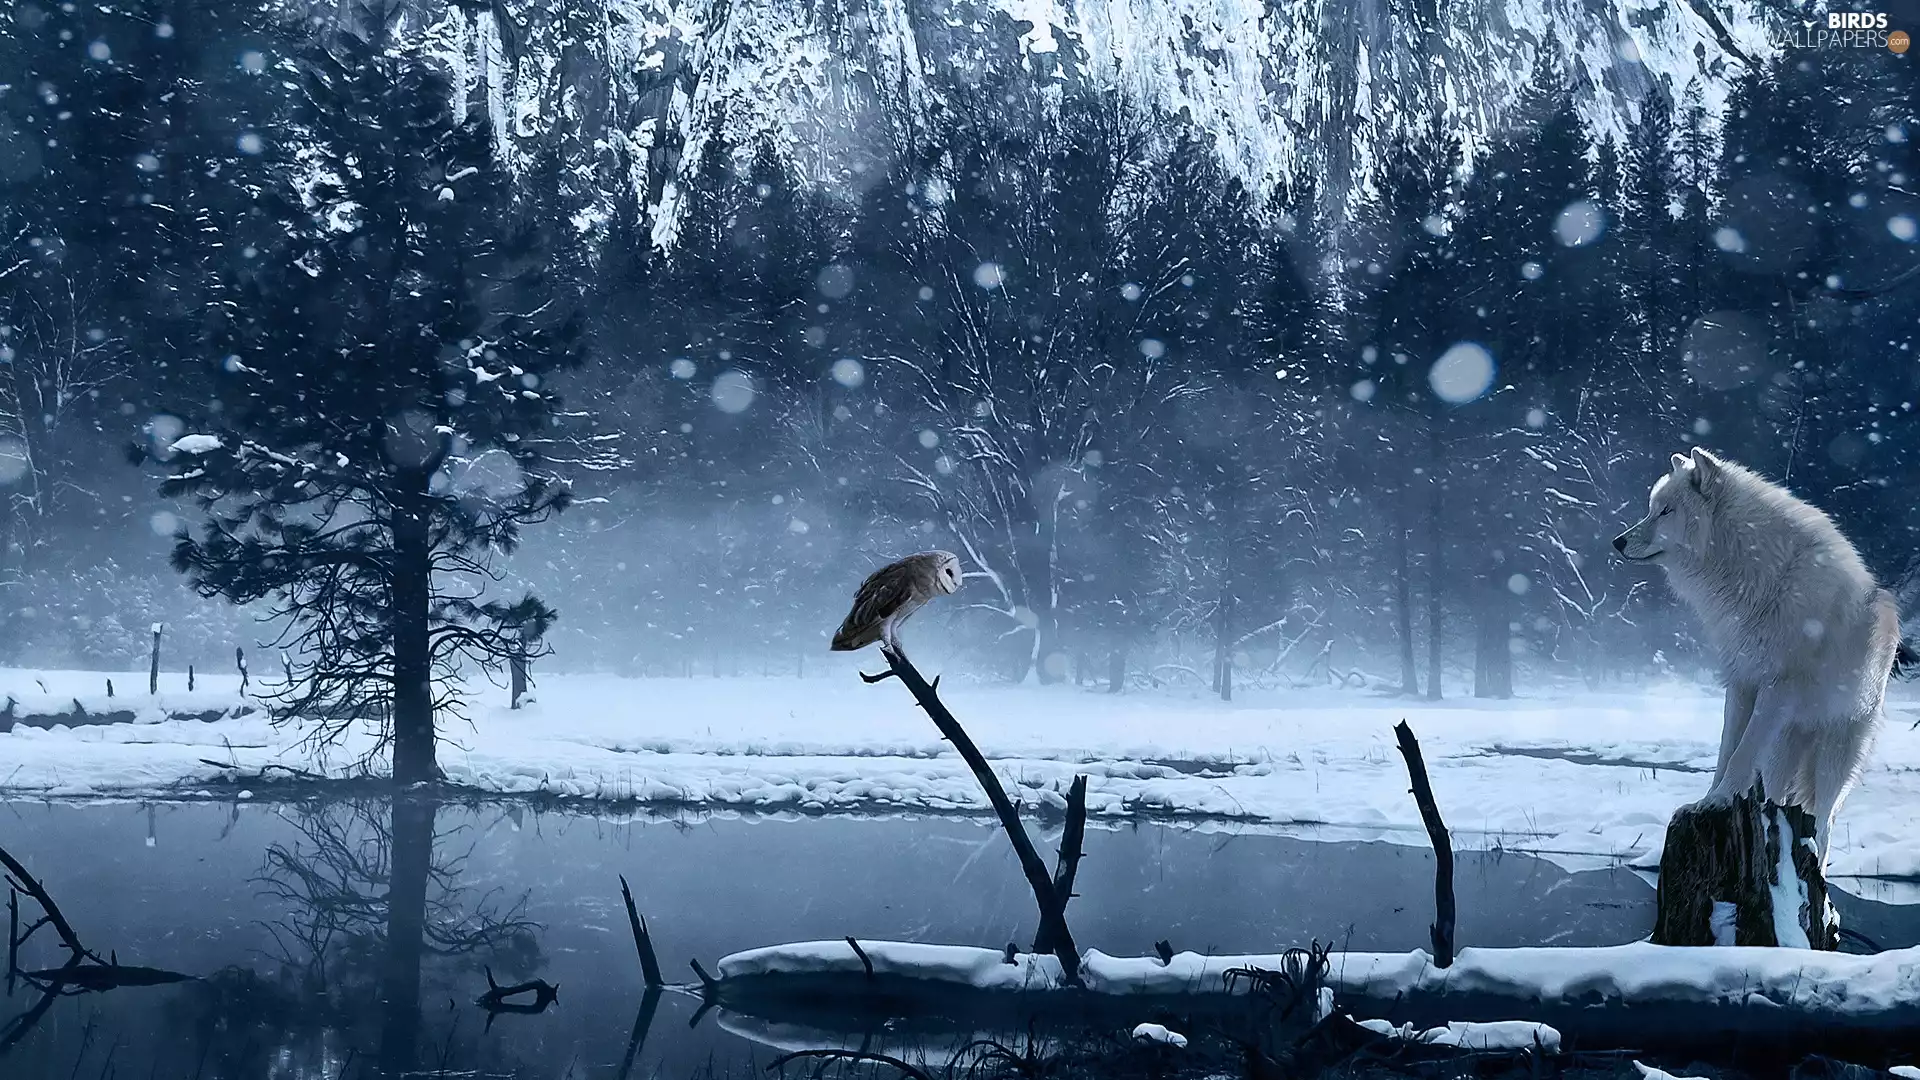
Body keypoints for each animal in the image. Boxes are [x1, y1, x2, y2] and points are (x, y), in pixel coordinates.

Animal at [1613, 447, 1911, 859]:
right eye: (1652, 508)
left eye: (1666, 511)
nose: (1618, 542)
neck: (1757, 574)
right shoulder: (1741, 683)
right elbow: (1727, 750)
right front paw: (1707, 801)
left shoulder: (1777, 687)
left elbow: (1741, 753)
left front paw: (1718, 800)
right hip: (1783, 750)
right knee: (1780, 795)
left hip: (1834, 758)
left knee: (1825, 824)